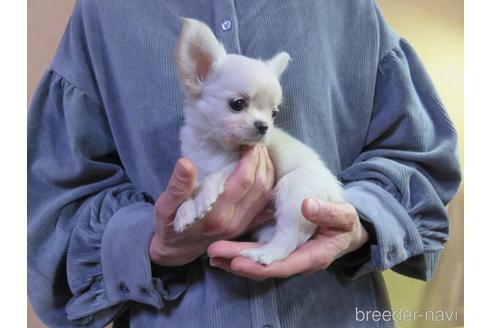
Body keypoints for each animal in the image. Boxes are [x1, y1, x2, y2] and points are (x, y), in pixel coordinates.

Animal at [173, 18, 342, 266]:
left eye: (273, 113)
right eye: (237, 104)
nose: (264, 126)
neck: (215, 146)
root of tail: (337, 194)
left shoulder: (236, 164)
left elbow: (215, 175)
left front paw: (204, 197)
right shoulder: (194, 164)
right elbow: (190, 190)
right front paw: (183, 212)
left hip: (296, 191)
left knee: (289, 238)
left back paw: (264, 254)